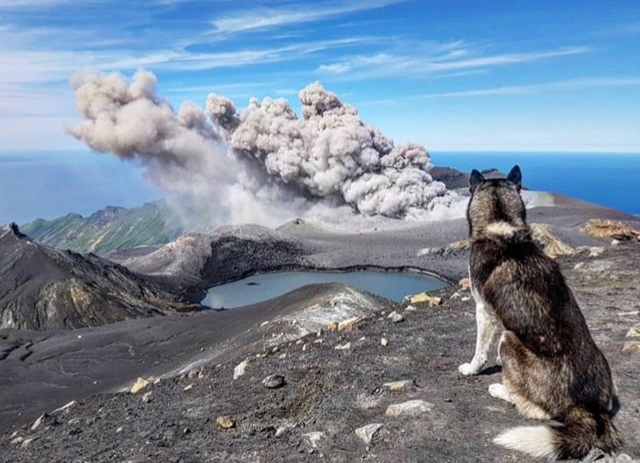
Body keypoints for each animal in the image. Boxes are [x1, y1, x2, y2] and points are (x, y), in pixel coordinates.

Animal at [458, 167, 624, 460]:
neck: (501, 226)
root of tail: (589, 410)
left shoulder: (484, 310)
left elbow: (480, 349)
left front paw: (471, 368)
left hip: (509, 340)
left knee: (533, 409)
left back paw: (500, 389)